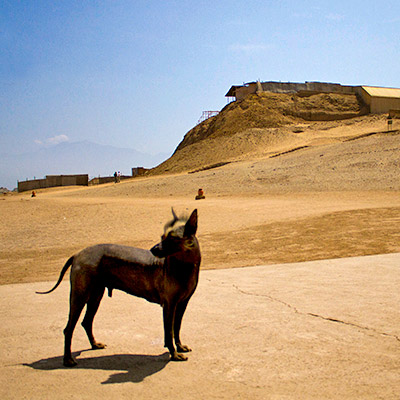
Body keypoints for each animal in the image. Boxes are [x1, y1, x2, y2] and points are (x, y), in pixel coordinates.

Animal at [36, 208, 200, 368]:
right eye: (162, 237)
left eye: (172, 238)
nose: (153, 249)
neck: (184, 266)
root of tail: (77, 254)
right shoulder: (169, 305)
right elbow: (169, 332)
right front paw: (174, 354)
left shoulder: (182, 304)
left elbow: (176, 328)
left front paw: (180, 347)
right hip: (80, 296)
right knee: (69, 328)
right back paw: (68, 359)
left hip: (95, 296)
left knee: (86, 322)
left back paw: (94, 345)